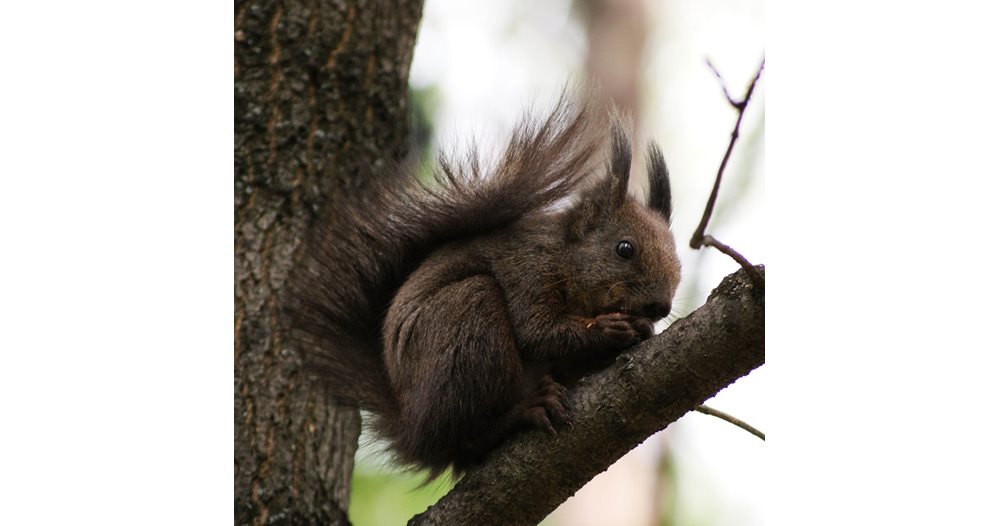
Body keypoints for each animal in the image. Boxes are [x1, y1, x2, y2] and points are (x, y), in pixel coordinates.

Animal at [286, 94, 684, 478]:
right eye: (624, 249)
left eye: (679, 262)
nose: (660, 307)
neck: (565, 257)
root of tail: (414, 429)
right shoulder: (527, 269)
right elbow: (537, 331)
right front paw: (608, 328)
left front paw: (640, 331)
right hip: (467, 320)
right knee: (470, 435)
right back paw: (522, 412)